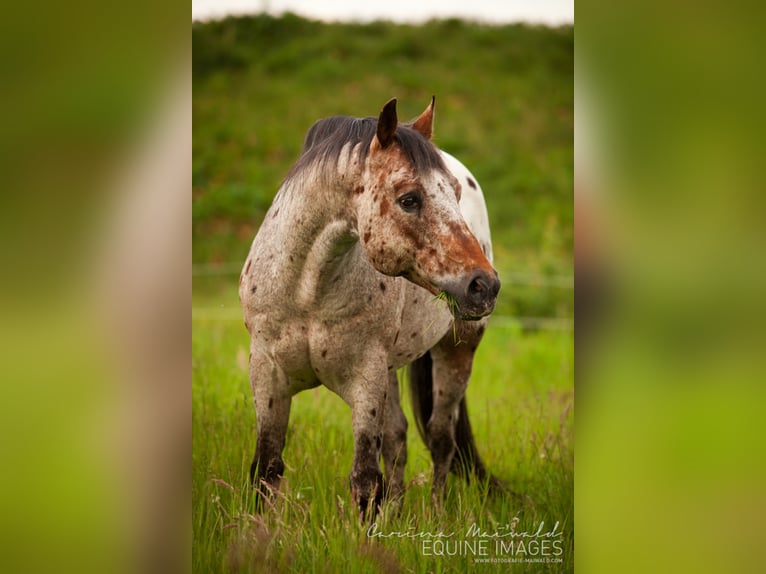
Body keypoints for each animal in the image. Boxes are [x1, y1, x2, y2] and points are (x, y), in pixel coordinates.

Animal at [240, 97, 504, 516]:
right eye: (409, 199)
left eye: (455, 194)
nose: (485, 286)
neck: (306, 293)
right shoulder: (267, 375)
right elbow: (266, 469)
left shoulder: (366, 381)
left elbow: (364, 480)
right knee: (397, 438)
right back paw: (397, 513)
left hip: (456, 349)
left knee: (440, 439)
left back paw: (436, 515)